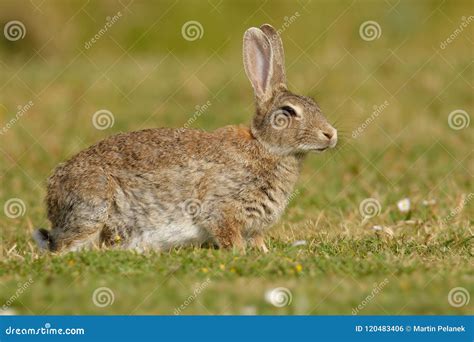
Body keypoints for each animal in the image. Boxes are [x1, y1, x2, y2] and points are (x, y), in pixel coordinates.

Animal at [34, 24, 336, 252]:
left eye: (314, 104)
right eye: (288, 112)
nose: (330, 134)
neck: (265, 147)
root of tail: (52, 193)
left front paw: (263, 253)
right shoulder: (221, 208)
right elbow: (228, 234)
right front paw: (241, 254)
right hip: (94, 206)